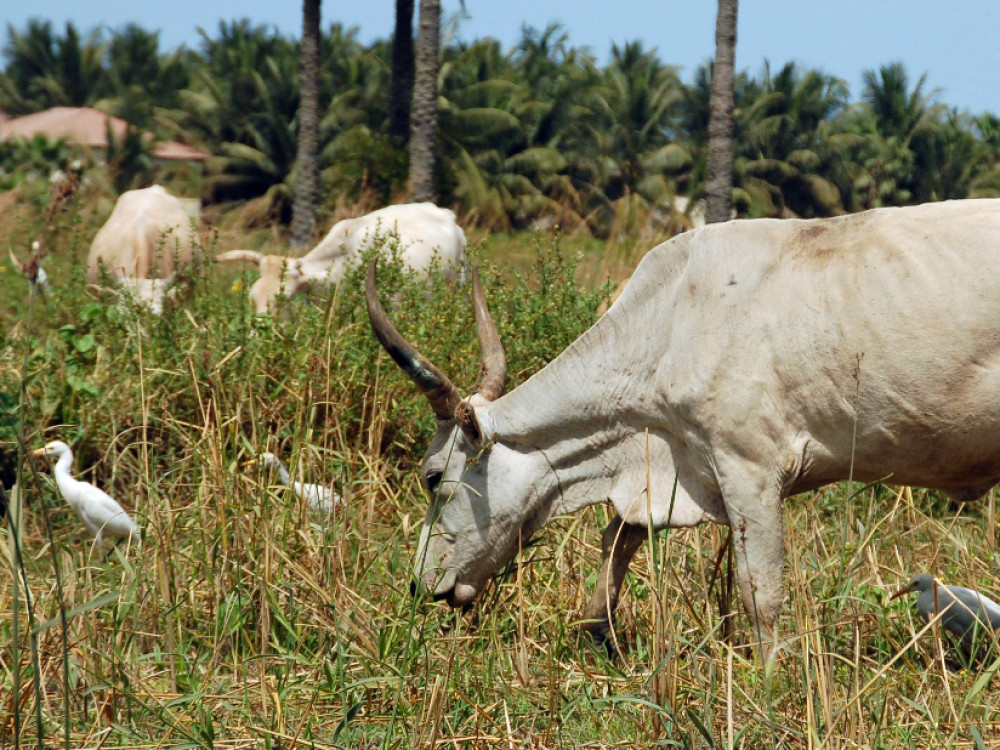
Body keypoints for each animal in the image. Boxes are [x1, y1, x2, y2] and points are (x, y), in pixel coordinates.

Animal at [368, 200, 1000, 656]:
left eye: (431, 477)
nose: (418, 585)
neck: (668, 323)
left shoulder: (748, 469)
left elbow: (760, 595)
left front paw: (770, 682)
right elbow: (616, 544)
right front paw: (598, 639)